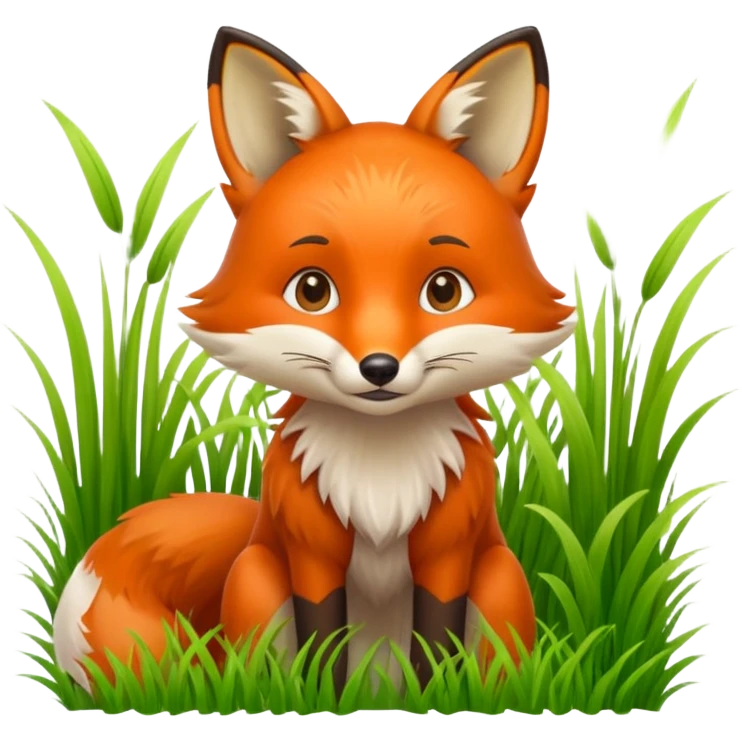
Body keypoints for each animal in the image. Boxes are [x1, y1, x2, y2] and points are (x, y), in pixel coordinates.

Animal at [52, 24, 576, 696]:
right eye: (312, 290)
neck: (380, 472)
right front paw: (323, 697)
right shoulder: (310, 549)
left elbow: (436, 640)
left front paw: (432, 699)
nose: (379, 368)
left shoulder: (449, 549)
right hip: (255, 576)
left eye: (443, 291)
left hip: (502, 581)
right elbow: (323, 638)